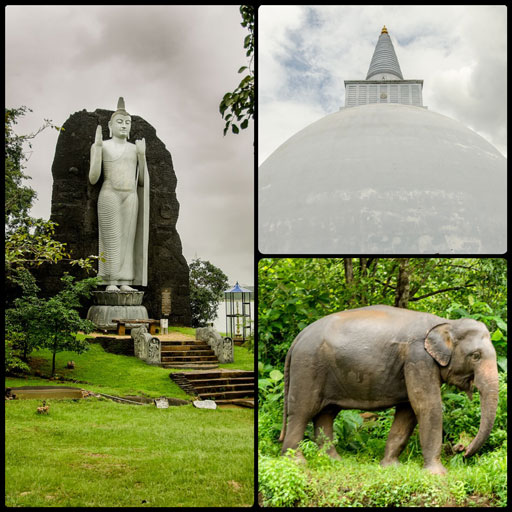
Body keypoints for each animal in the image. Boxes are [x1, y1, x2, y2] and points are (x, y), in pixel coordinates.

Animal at [278, 304, 498, 476]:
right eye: (476, 356)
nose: (461, 449)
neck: (446, 322)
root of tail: (298, 338)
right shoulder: (418, 359)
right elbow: (427, 406)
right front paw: (437, 474)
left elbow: (408, 412)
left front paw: (390, 467)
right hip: (308, 366)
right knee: (302, 412)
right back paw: (296, 463)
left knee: (326, 414)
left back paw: (334, 461)